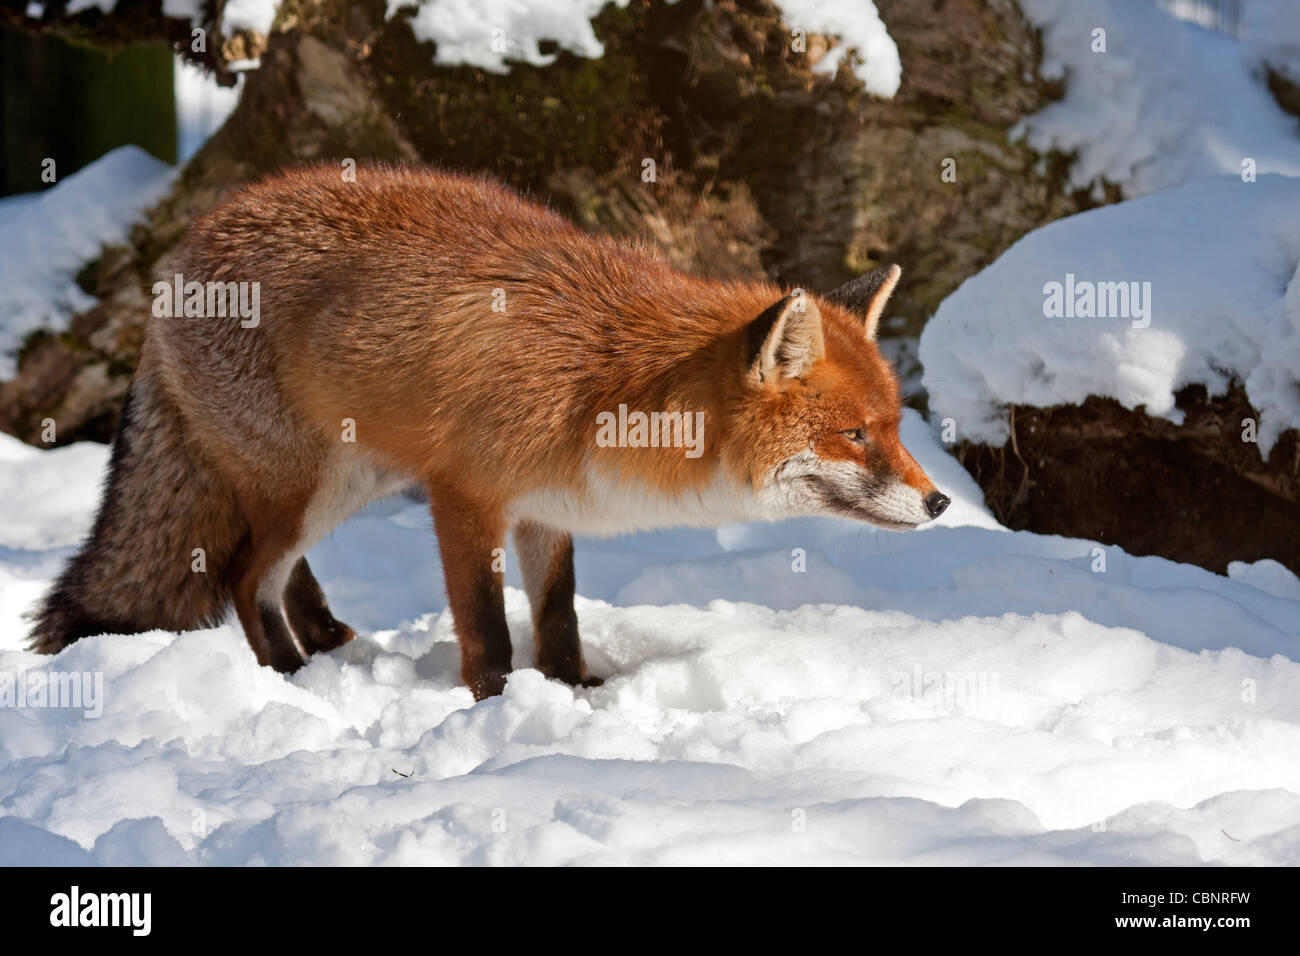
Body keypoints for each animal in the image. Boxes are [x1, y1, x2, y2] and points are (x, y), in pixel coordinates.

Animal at [30, 166, 946, 702]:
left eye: (895, 426)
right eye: (854, 434)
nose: (940, 504)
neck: (604, 386)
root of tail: (189, 241)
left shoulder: (548, 508)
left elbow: (556, 614)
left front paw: (574, 691)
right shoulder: (464, 497)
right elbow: (487, 623)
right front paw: (496, 703)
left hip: (346, 482)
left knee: (281, 571)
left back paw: (326, 642)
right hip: (311, 484)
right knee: (243, 574)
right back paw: (290, 674)